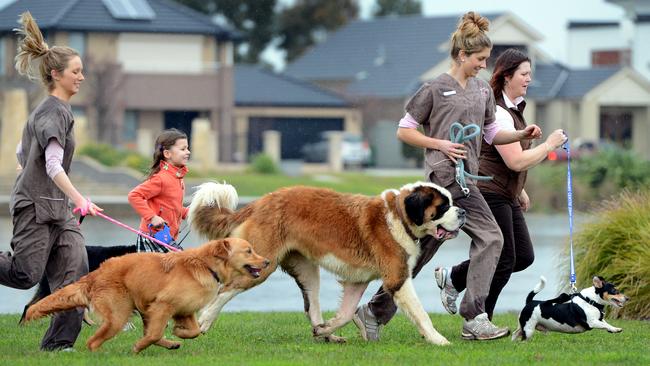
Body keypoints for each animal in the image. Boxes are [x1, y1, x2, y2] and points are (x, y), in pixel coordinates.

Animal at [23, 239, 268, 354]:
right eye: (248, 251)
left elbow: (194, 331)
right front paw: (138, 347)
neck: (206, 265)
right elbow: (154, 334)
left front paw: (178, 333)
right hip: (119, 315)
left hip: (137, 308)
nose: (266, 261)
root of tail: (96, 273)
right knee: (93, 342)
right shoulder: (162, 305)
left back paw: (171, 343)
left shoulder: (184, 310)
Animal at [187, 182, 466, 344]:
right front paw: (438, 340)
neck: (399, 215)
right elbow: (421, 313)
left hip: (307, 270)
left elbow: (346, 313)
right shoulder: (397, 278)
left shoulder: (357, 281)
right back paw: (204, 321)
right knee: (224, 290)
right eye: (442, 207)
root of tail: (259, 202)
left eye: (452, 204)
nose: (462, 212)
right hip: (261, 265)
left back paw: (327, 335)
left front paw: (325, 328)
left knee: (312, 306)